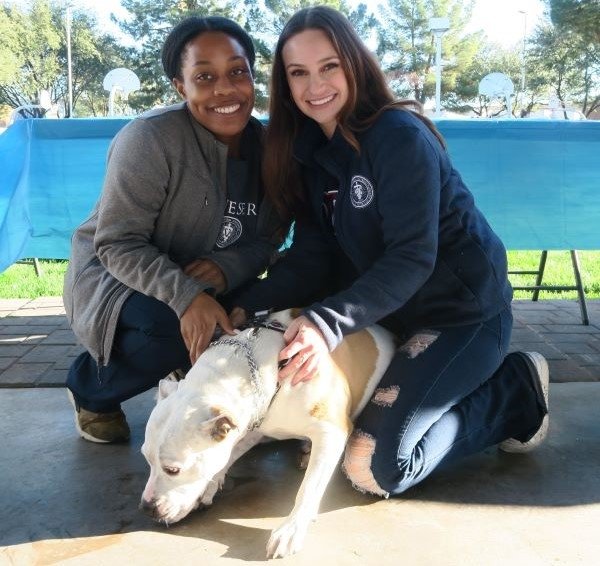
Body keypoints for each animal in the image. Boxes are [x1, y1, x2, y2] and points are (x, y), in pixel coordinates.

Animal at [138, 310, 396, 560]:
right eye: (146, 460)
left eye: (173, 470)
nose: (146, 508)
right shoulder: (252, 427)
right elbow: (228, 455)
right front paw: (210, 486)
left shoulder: (331, 431)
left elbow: (309, 487)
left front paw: (292, 529)